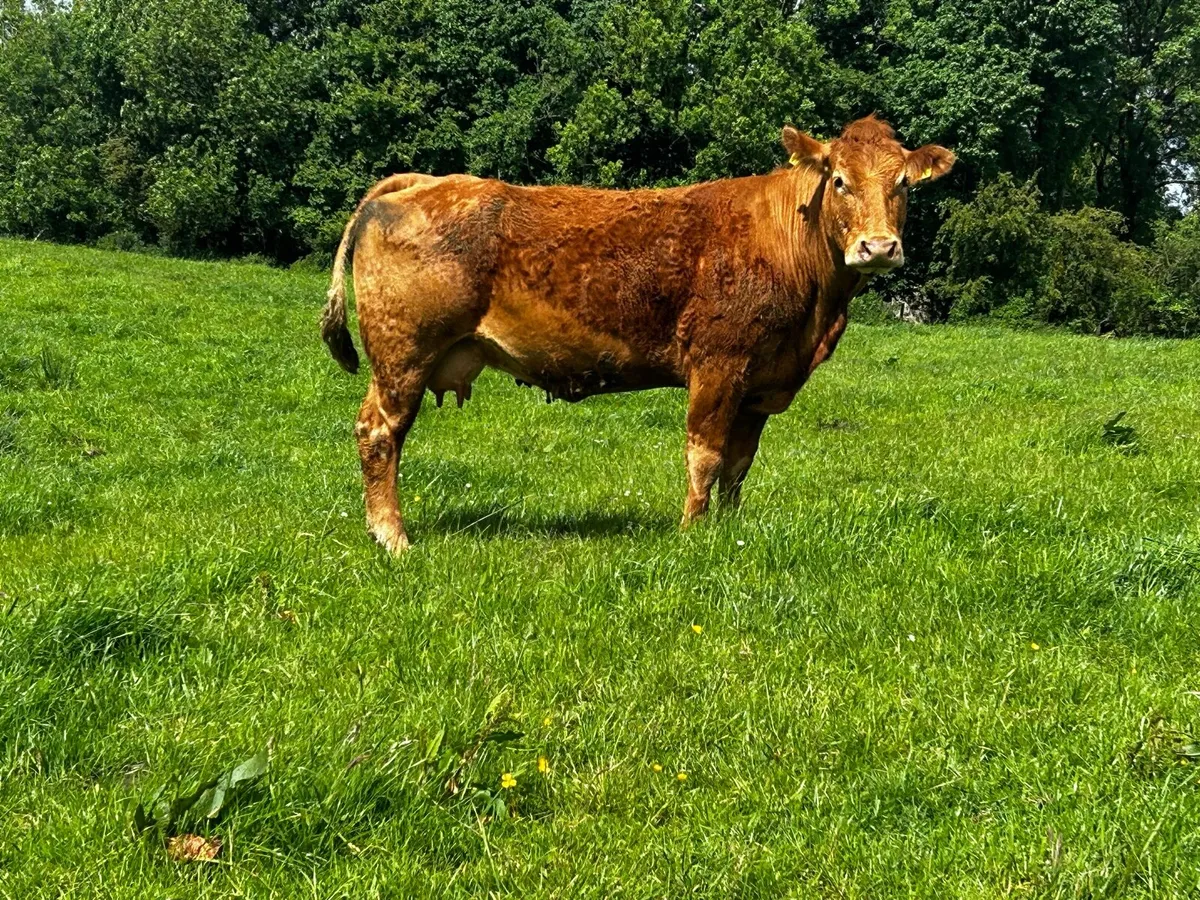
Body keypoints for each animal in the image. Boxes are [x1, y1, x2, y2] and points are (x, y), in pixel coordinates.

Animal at [321, 116, 954, 554]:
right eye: (840, 180)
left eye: (903, 184)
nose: (879, 246)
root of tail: (421, 181)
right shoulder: (718, 365)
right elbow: (705, 455)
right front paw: (692, 533)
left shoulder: (760, 385)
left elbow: (738, 464)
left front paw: (729, 530)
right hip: (403, 355)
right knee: (379, 433)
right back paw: (393, 537)